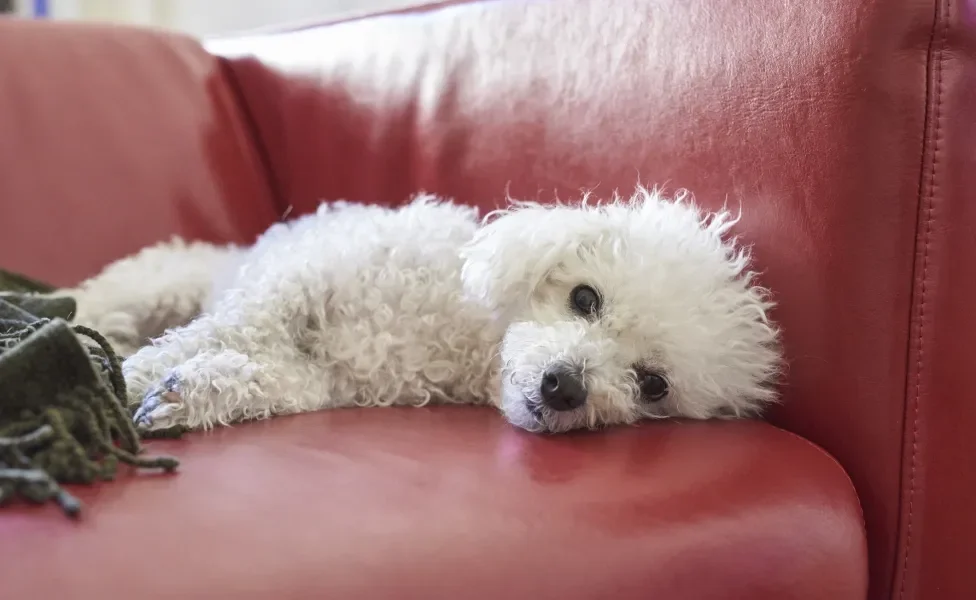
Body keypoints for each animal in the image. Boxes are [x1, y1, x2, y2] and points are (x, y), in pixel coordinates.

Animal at [68, 186, 780, 432]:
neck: (464, 332)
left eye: (653, 384)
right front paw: (116, 379)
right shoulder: (294, 289)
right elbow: (216, 332)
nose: (564, 387)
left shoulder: (326, 380)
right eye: (585, 298)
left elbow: (266, 381)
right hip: (158, 285)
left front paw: (184, 396)